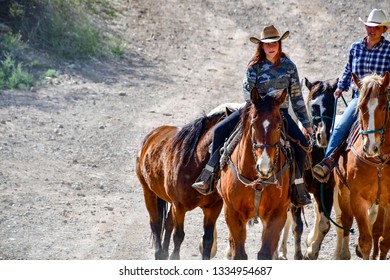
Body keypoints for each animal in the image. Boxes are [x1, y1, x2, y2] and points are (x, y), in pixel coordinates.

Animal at [136, 111, 225, 260]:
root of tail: (151, 136)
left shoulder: (213, 207)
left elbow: (207, 239)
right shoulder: (179, 206)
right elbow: (178, 236)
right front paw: (174, 256)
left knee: (167, 223)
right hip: (148, 191)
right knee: (156, 222)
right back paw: (159, 253)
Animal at [219, 86, 292, 260]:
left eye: (279, 125)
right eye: (253, 124)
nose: (264, 167)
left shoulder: (277, 214)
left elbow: (265, 253)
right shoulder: (232, 213)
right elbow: (238, 253)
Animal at [334, 71, 390, 260]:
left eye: (383, 107)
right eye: (360, 108)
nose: (370, 147)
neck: (379, 163)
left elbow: (384, 242)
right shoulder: (357, 199)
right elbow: (365, 242)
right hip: (342, 192)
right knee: (345, 221)